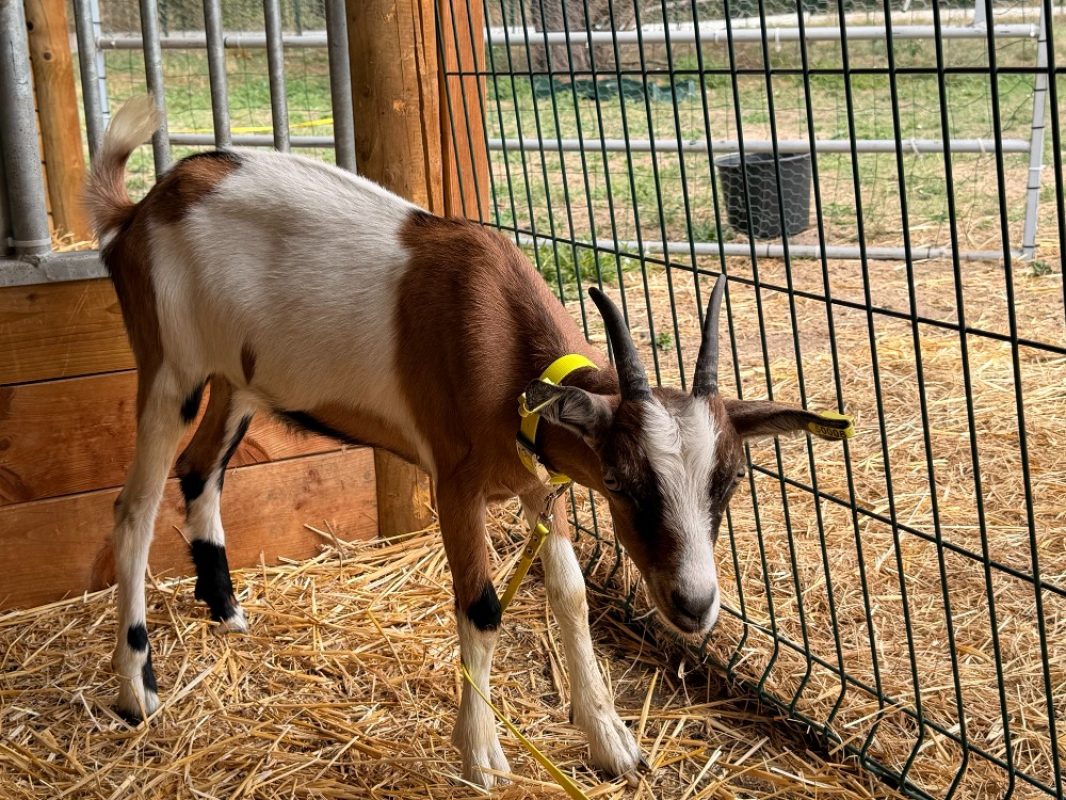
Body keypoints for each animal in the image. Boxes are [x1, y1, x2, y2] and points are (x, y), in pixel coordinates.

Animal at [86, 96, 851, 787]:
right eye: (622, 481)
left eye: (730, 481)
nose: (694, 604)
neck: (503, 344)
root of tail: (140, 211)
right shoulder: (454, 484)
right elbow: (482, 608)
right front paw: (481, 756)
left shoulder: (540, 484)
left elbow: (571, 595)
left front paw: (611, 742)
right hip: (170, 373)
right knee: (132, 509)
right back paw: (137, 688)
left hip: (238, 381)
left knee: (200, 469)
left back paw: (226, 609)